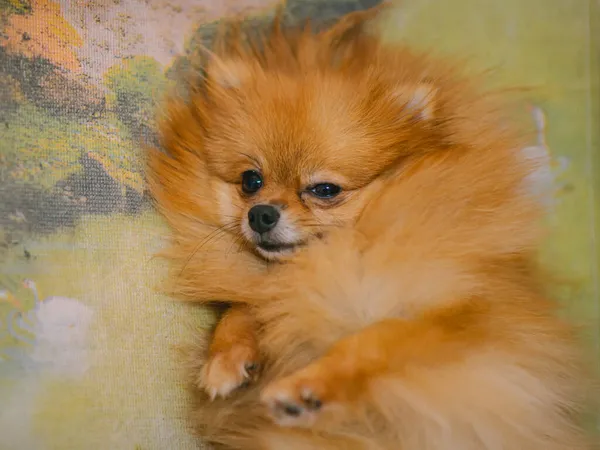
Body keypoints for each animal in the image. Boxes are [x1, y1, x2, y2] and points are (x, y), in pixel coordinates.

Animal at [146, 6, 592, 450]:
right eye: (250, 181)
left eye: (325, 190)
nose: (261, 214)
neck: (345, 251)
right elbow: (240, 310)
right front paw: (226, 357)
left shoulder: (464, 318)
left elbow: (374, 338)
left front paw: (308, 389)